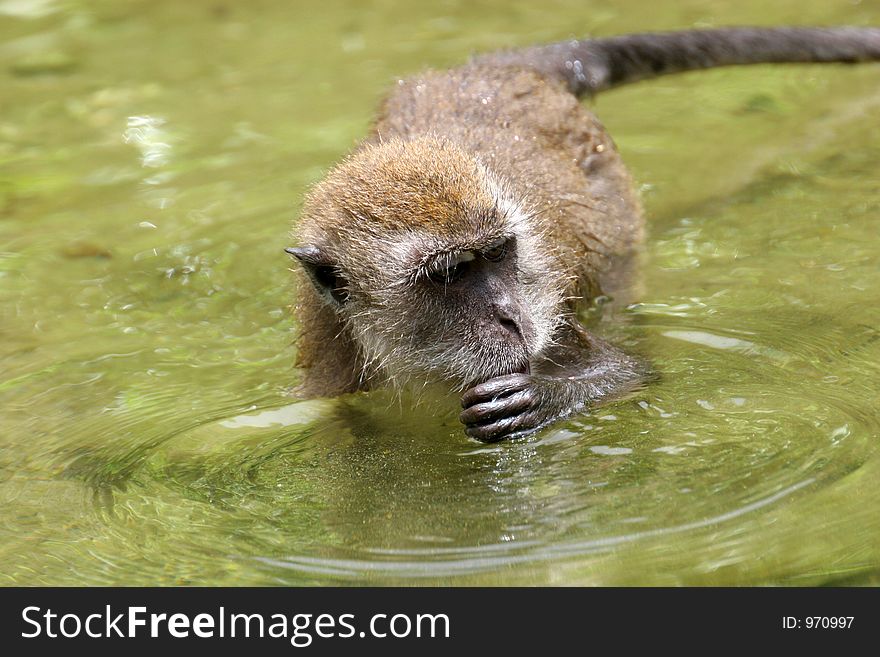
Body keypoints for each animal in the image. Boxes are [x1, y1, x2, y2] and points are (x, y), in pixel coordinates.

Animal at [288, 28, 880, 444]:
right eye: (451, 273)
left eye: (497, 254)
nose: (511, 317)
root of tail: (489, 72)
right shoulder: (336, 355)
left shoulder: (554, 318)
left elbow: (636, 373)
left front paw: (550, 396)